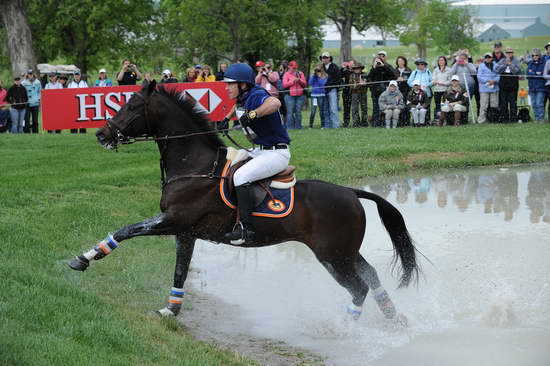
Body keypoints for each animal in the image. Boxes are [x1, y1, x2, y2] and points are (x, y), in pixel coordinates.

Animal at [70, 81, 422, 324]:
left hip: (332, 255)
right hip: (345, 251)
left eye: (132, 106)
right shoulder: (185, 233)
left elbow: (127, 230)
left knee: (358, 288)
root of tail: (351, 192)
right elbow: (180, 272)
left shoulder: (173, 221)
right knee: (371, 277)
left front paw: (83, 258)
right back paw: (395, 319)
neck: (194, 166)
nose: (101, 135)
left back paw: (346, 329)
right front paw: (171, 310)